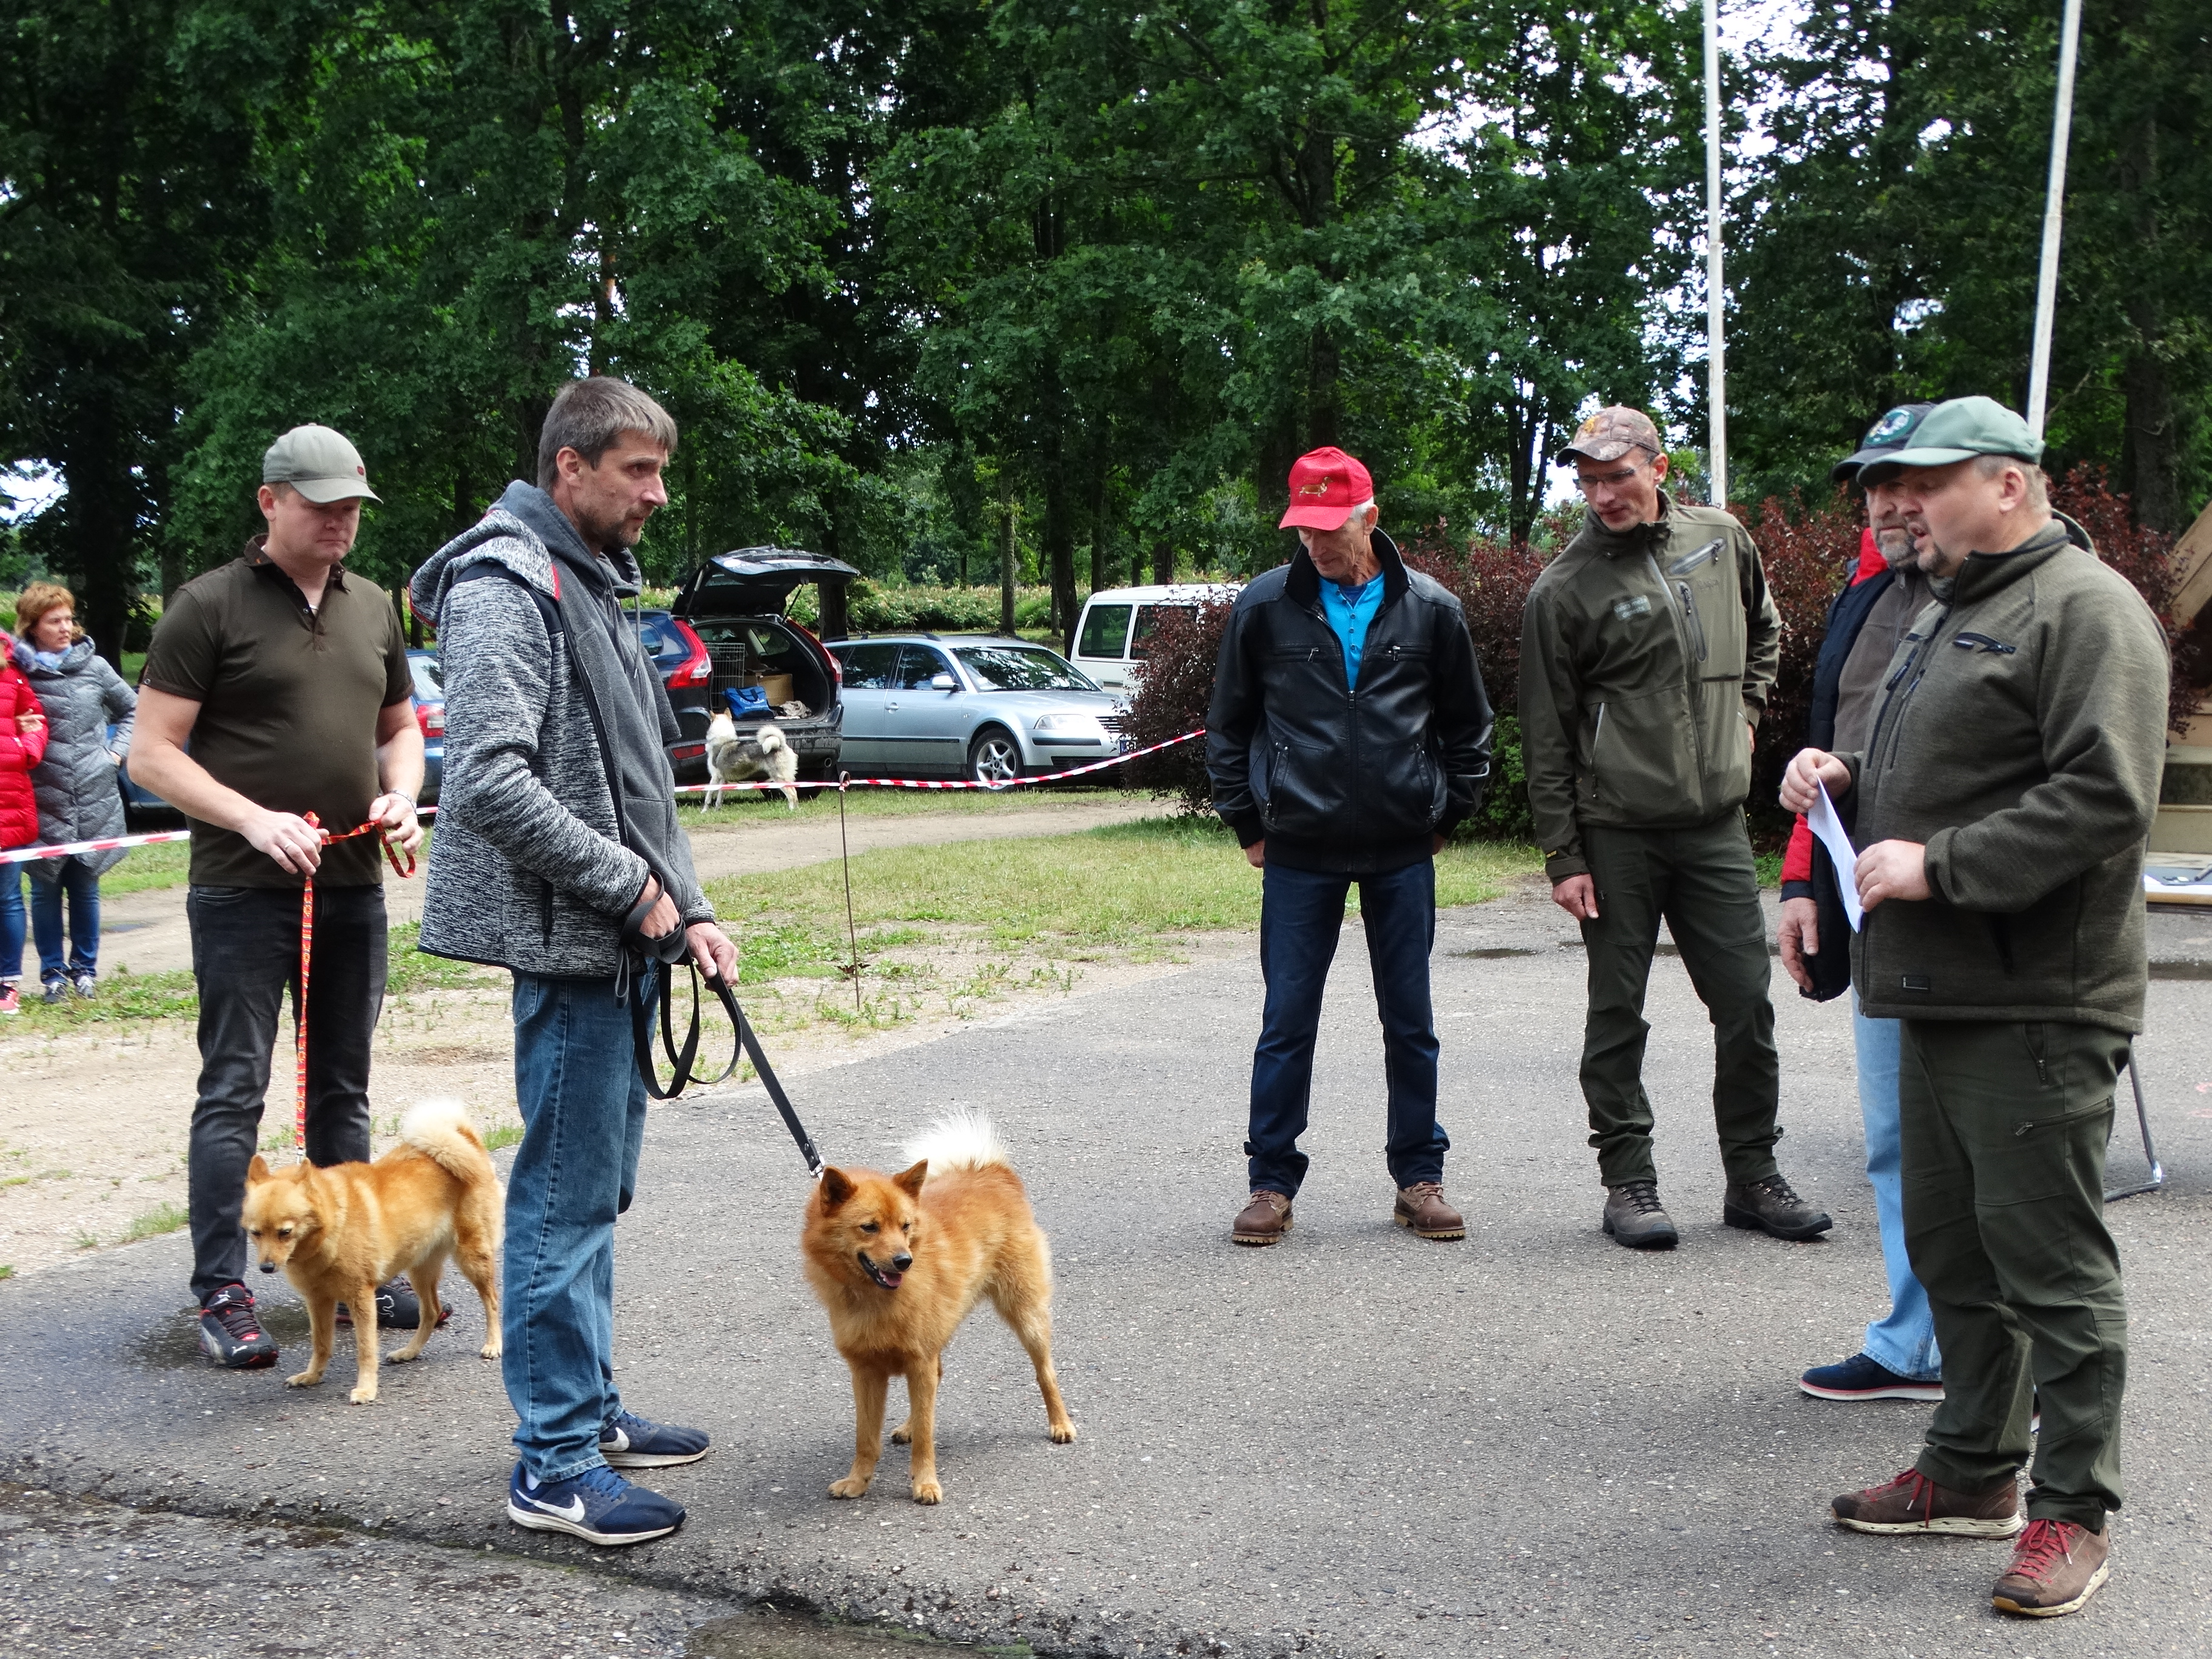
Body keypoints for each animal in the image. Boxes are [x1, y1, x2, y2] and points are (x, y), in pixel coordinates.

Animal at [240, 1099, 503, 1404]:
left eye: (285, 1232)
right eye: (256, 1233)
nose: (266, 1268)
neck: (330, 1228)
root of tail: (467, 1142)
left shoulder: (361, 1299)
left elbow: (366, 1350)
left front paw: (366, 1388)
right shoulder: (318, 1301)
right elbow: (321, 1344)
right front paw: (313, 1376)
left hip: (473, 1258)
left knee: (492, 1302)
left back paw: (494, 1343)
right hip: (420, 1269)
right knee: (431, 1312)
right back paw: (409, 1351)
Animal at [702, 711, 799, 810]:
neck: (723, 740)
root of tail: (781, 745)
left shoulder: (715, 777)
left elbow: (708, 797)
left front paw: (704, 811)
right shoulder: (723, 780)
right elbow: (719, 799)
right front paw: (716, 810)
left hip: (778, 778)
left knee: (792, 795)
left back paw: (791, 809)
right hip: (786, 778)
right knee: (795, 792)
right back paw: (795, 809)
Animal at [801, 1109, 1076, 1504]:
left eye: (905, 1226)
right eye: (869, 1227)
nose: (904, 1262)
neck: (873, 1298)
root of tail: (990, 1171)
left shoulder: (919, 1361)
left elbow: (927, 1438)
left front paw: (925, 1482)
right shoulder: (867, 1371)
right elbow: (866, 1439)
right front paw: (857, 1481)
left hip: (1027, 1316)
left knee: (1046, 1373)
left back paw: (1060, 1423)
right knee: (936, 1382)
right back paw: (908, 1426)